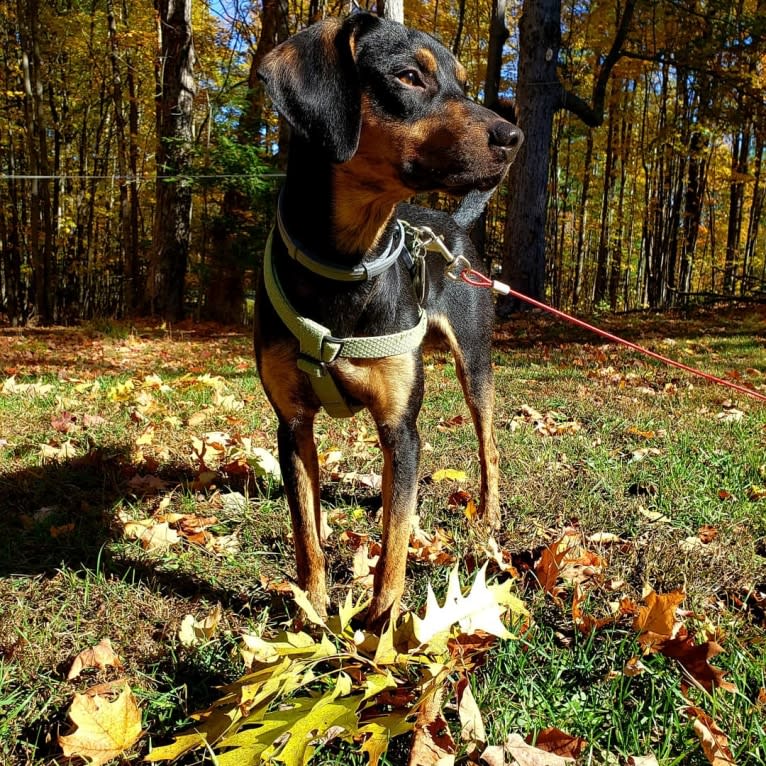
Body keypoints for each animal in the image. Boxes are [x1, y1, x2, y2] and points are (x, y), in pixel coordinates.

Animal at [255, 12, 524, 632]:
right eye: (408, 77)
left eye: (461, 83)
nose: (512, 138)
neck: (347, 261)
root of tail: (452, 227)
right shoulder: (292, 423)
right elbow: (307, 534)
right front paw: (312, 613)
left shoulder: (402, 427)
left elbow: (395, 546)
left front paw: (380, 632)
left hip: (475, 364)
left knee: (488, 448)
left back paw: (489, 518)